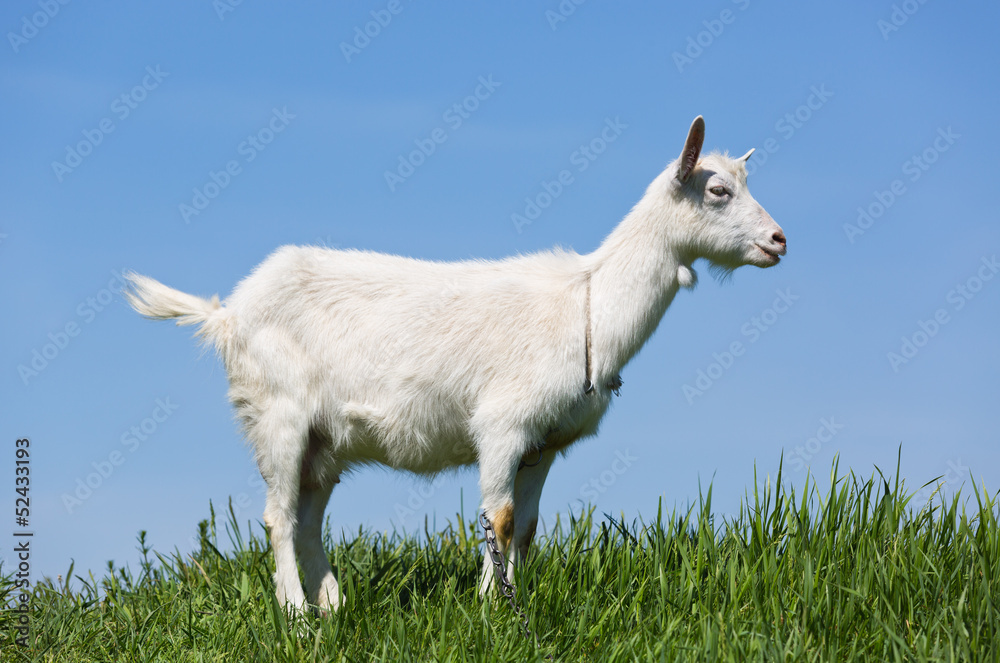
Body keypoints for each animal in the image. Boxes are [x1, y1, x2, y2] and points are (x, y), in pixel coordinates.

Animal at [125, 116, 787, 613]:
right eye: (718, 191)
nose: (780, 240)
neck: (588, 305)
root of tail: (228, 312)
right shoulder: (502, 426)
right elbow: (498, 518)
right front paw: (492, 610)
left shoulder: (543, 443)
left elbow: (527, 525)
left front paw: (517, 600)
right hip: (276, 413)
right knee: (277, 516)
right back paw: (296, 616)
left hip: (324, 440)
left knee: (308, 518)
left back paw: (334, 607)